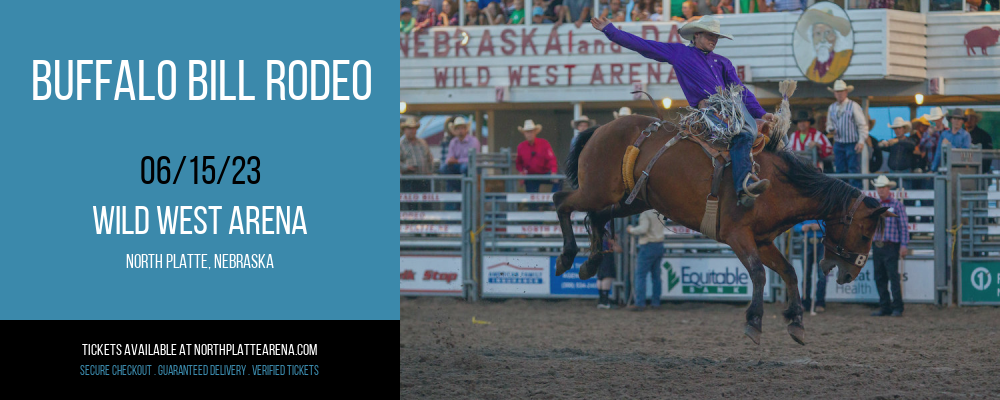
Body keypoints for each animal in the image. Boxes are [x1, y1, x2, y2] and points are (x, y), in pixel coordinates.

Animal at [556, 114, 892, 346]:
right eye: (865, 234)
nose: (848, 275)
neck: (777, 185)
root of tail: (602, 128)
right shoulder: (737, 236)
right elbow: (759, 273)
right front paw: (754, 322)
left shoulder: (763, 241)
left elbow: (788, 271)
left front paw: (796, 320)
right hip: (596, 190)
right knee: (561, 200)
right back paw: (567, 257)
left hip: (632, 200)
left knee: (596, 217)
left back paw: (589, 264)